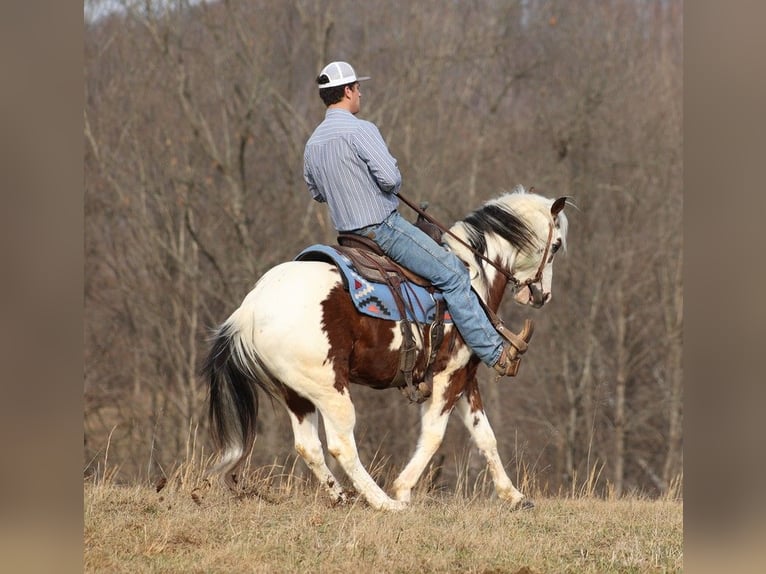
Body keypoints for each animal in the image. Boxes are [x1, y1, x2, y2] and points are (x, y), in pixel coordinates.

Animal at [204, 186, 568, 512]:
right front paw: (403, 489)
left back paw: (342, 497)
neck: (473, 273)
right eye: (557, 245)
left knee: (308, 447)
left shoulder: (465, 377)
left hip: (295, 392)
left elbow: (484, 436)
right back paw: (384, 502)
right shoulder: (449, 375)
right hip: (330, 390)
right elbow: (434, 434)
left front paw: (515, 497)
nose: (542, 295)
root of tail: (249, 309)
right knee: (340, 445)